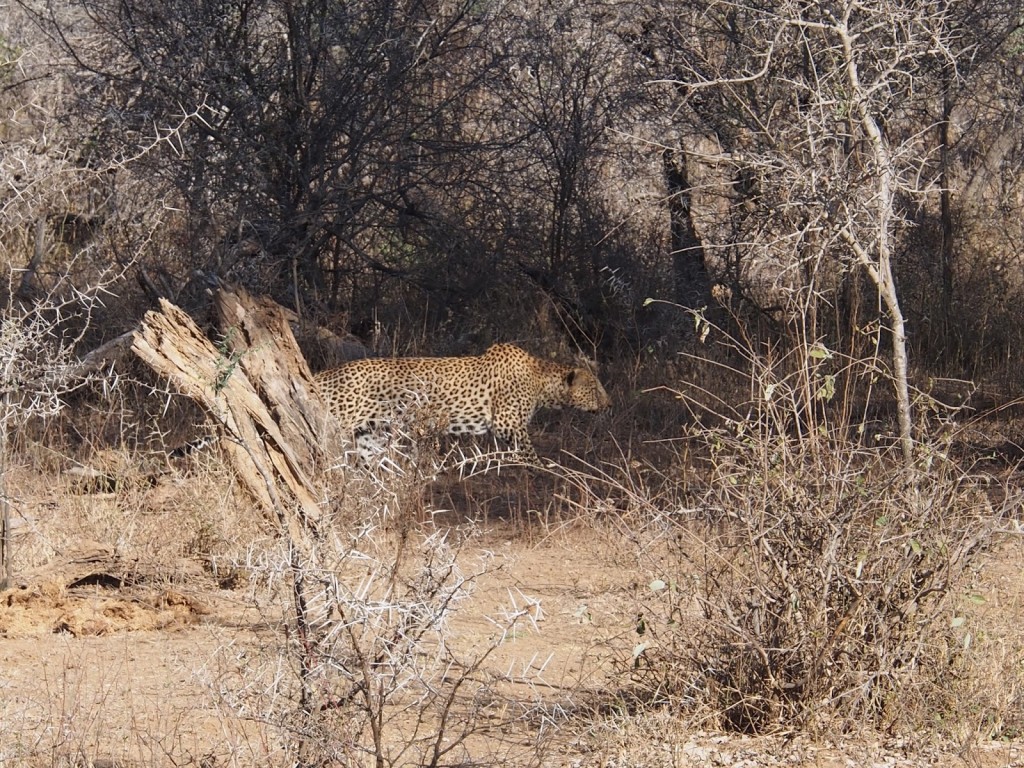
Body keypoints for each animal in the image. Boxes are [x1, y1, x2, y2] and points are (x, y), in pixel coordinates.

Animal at [315, 344, 610, 466]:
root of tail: (325, 374)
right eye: (595, 388)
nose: (609, 404)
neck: (541, 381)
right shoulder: (507, 423)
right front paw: (545, 470)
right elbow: (528, 453)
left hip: (369, 434)